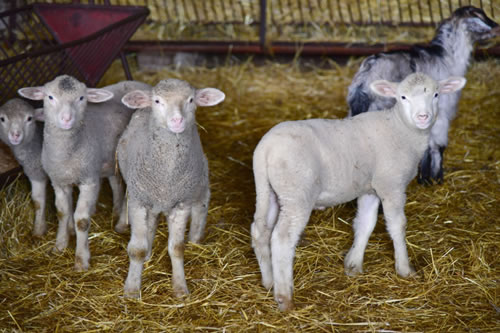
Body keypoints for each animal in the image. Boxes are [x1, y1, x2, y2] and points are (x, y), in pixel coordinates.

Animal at [0, 98, 47, 236]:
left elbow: (39, 200)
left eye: (30, 118)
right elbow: (36, 200)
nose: (15, 134)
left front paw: (38, 230)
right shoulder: (33, 170)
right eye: (2, 119)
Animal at [18, 76, 151, 270]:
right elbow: (62, 213)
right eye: (50, 97)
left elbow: (81, 220)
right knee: (116, 185)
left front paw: (81, 260)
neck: (67, 154)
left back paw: (121, 223)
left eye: (81, 98)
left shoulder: (89, 181)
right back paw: (116, 210)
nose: (66, 119)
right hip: (110, 162)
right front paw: (59, 245)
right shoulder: (59, 181)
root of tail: (140, 83)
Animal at [117, 79, 225, 296]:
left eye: (191, 100)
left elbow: (176, 248)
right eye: (157, 101)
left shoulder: (181, 204)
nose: (177, 121)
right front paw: (131, 289)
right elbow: (137, 249)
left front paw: (180, 288)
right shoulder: (138, 201)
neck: (166, 178)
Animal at [252, 72, 466, 312]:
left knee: (260, 231)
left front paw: (353, 265)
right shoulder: (391, 184)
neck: (399, 128)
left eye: (436, 94)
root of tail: (266, 148)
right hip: (296, 193)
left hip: (270, 191)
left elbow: (365, 223)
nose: (422, 117)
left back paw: (269, 281)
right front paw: (404, 269)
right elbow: (397, 225)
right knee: (282, 238)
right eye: (402, 97)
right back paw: (284, 297)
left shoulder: (370, 188)